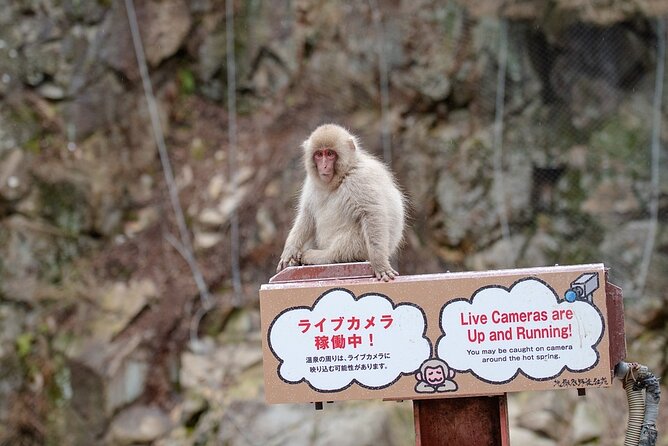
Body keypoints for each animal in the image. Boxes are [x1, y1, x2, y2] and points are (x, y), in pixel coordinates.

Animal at [276, 124, 405, 281]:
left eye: (330, 154)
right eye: (319, 155)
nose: (324, 166)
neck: (341, 176)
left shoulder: (360, 179)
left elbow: (372, 214)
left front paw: (380, 264)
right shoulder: (311, 183)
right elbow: (307, 214)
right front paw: (290, 250)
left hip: (362, 249)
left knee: (346, 245)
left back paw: (319, 256)